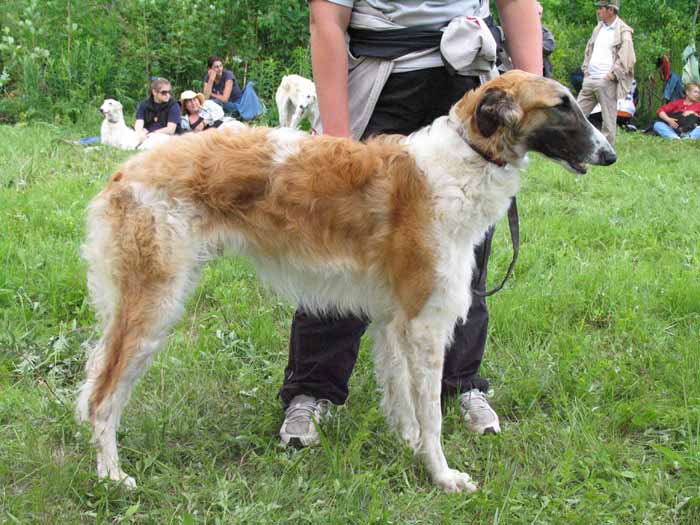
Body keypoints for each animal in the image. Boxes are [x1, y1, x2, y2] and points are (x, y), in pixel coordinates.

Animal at [78, 71, 615, 492]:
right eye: (561, 105)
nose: (610, 154)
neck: (461, 160)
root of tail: (125, 170)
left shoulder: (393, 319)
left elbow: (402, 401)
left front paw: (410, 449)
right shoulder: (425, 323)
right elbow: (431, 415)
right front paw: (443, 475)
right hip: (153, 305)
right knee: (100, 397)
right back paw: (112, 477)